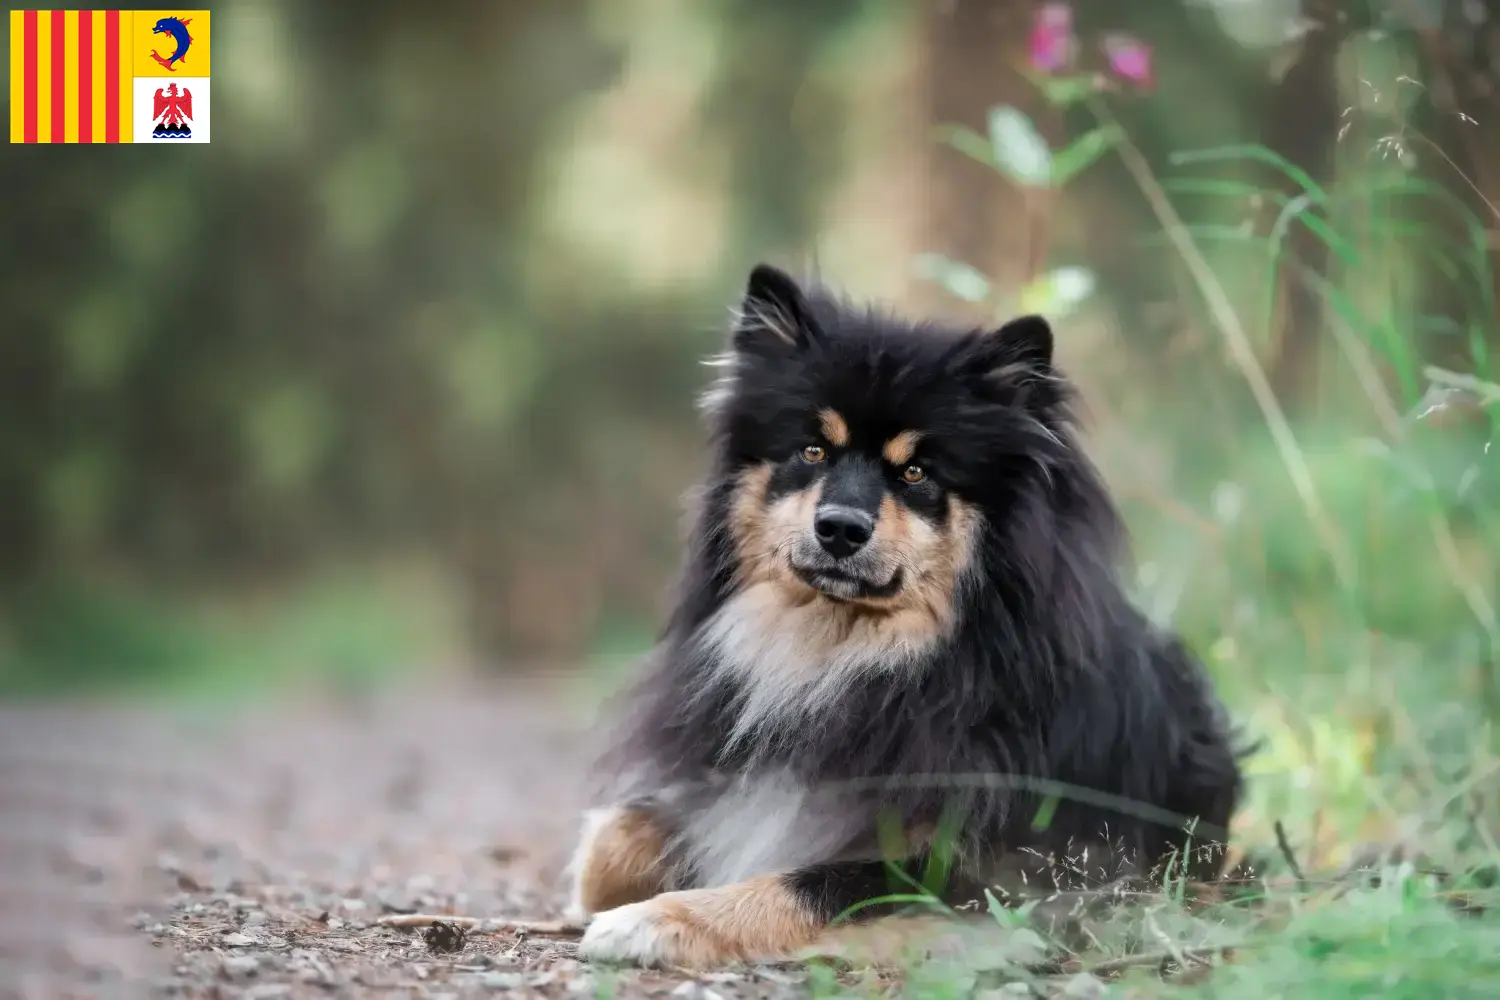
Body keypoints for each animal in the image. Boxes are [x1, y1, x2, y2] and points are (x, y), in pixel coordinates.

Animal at [564, 263, 1242, 971]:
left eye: (916, 471)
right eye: (812, 451)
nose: (839, 528)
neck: (844, 653)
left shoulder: (985, 864)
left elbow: (806, 883)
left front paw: (653, 920)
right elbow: (615, 837)